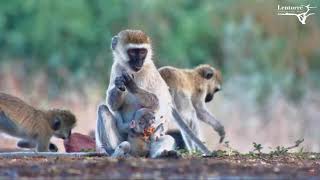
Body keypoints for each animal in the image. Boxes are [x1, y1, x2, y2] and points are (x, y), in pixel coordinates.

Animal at [94, 29, 210, 158]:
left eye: (142, 52)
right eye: (133, 52)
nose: (139, 62)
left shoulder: (149, 70)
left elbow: (156, 102)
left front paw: (132, 85)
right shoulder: (116, 68)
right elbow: (113, 105)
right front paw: (119, 83)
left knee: (165, 138)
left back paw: (161, 154)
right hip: (122, 138)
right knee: (103, 110)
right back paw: (113, 151)